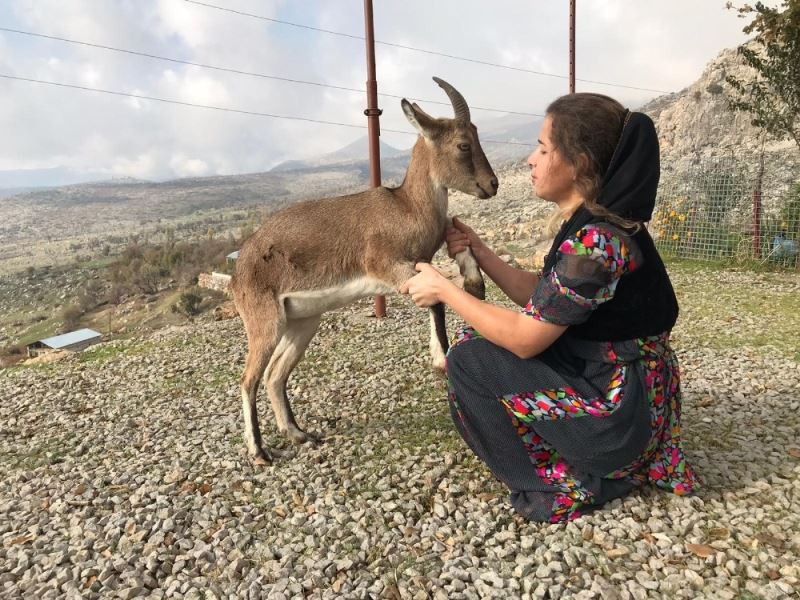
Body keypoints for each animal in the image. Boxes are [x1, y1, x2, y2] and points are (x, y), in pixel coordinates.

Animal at [228, 77, 496, 464]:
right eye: (463, 144)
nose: (492, 185)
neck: (406, 208)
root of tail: (238, 271)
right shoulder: (388, 267)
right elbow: (436, 300)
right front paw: (439, 357)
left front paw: (474, 286)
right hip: (264, 322)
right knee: (249, 378)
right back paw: (260, 451)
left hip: (302, 322)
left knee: (275, 375)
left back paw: (299, 434)